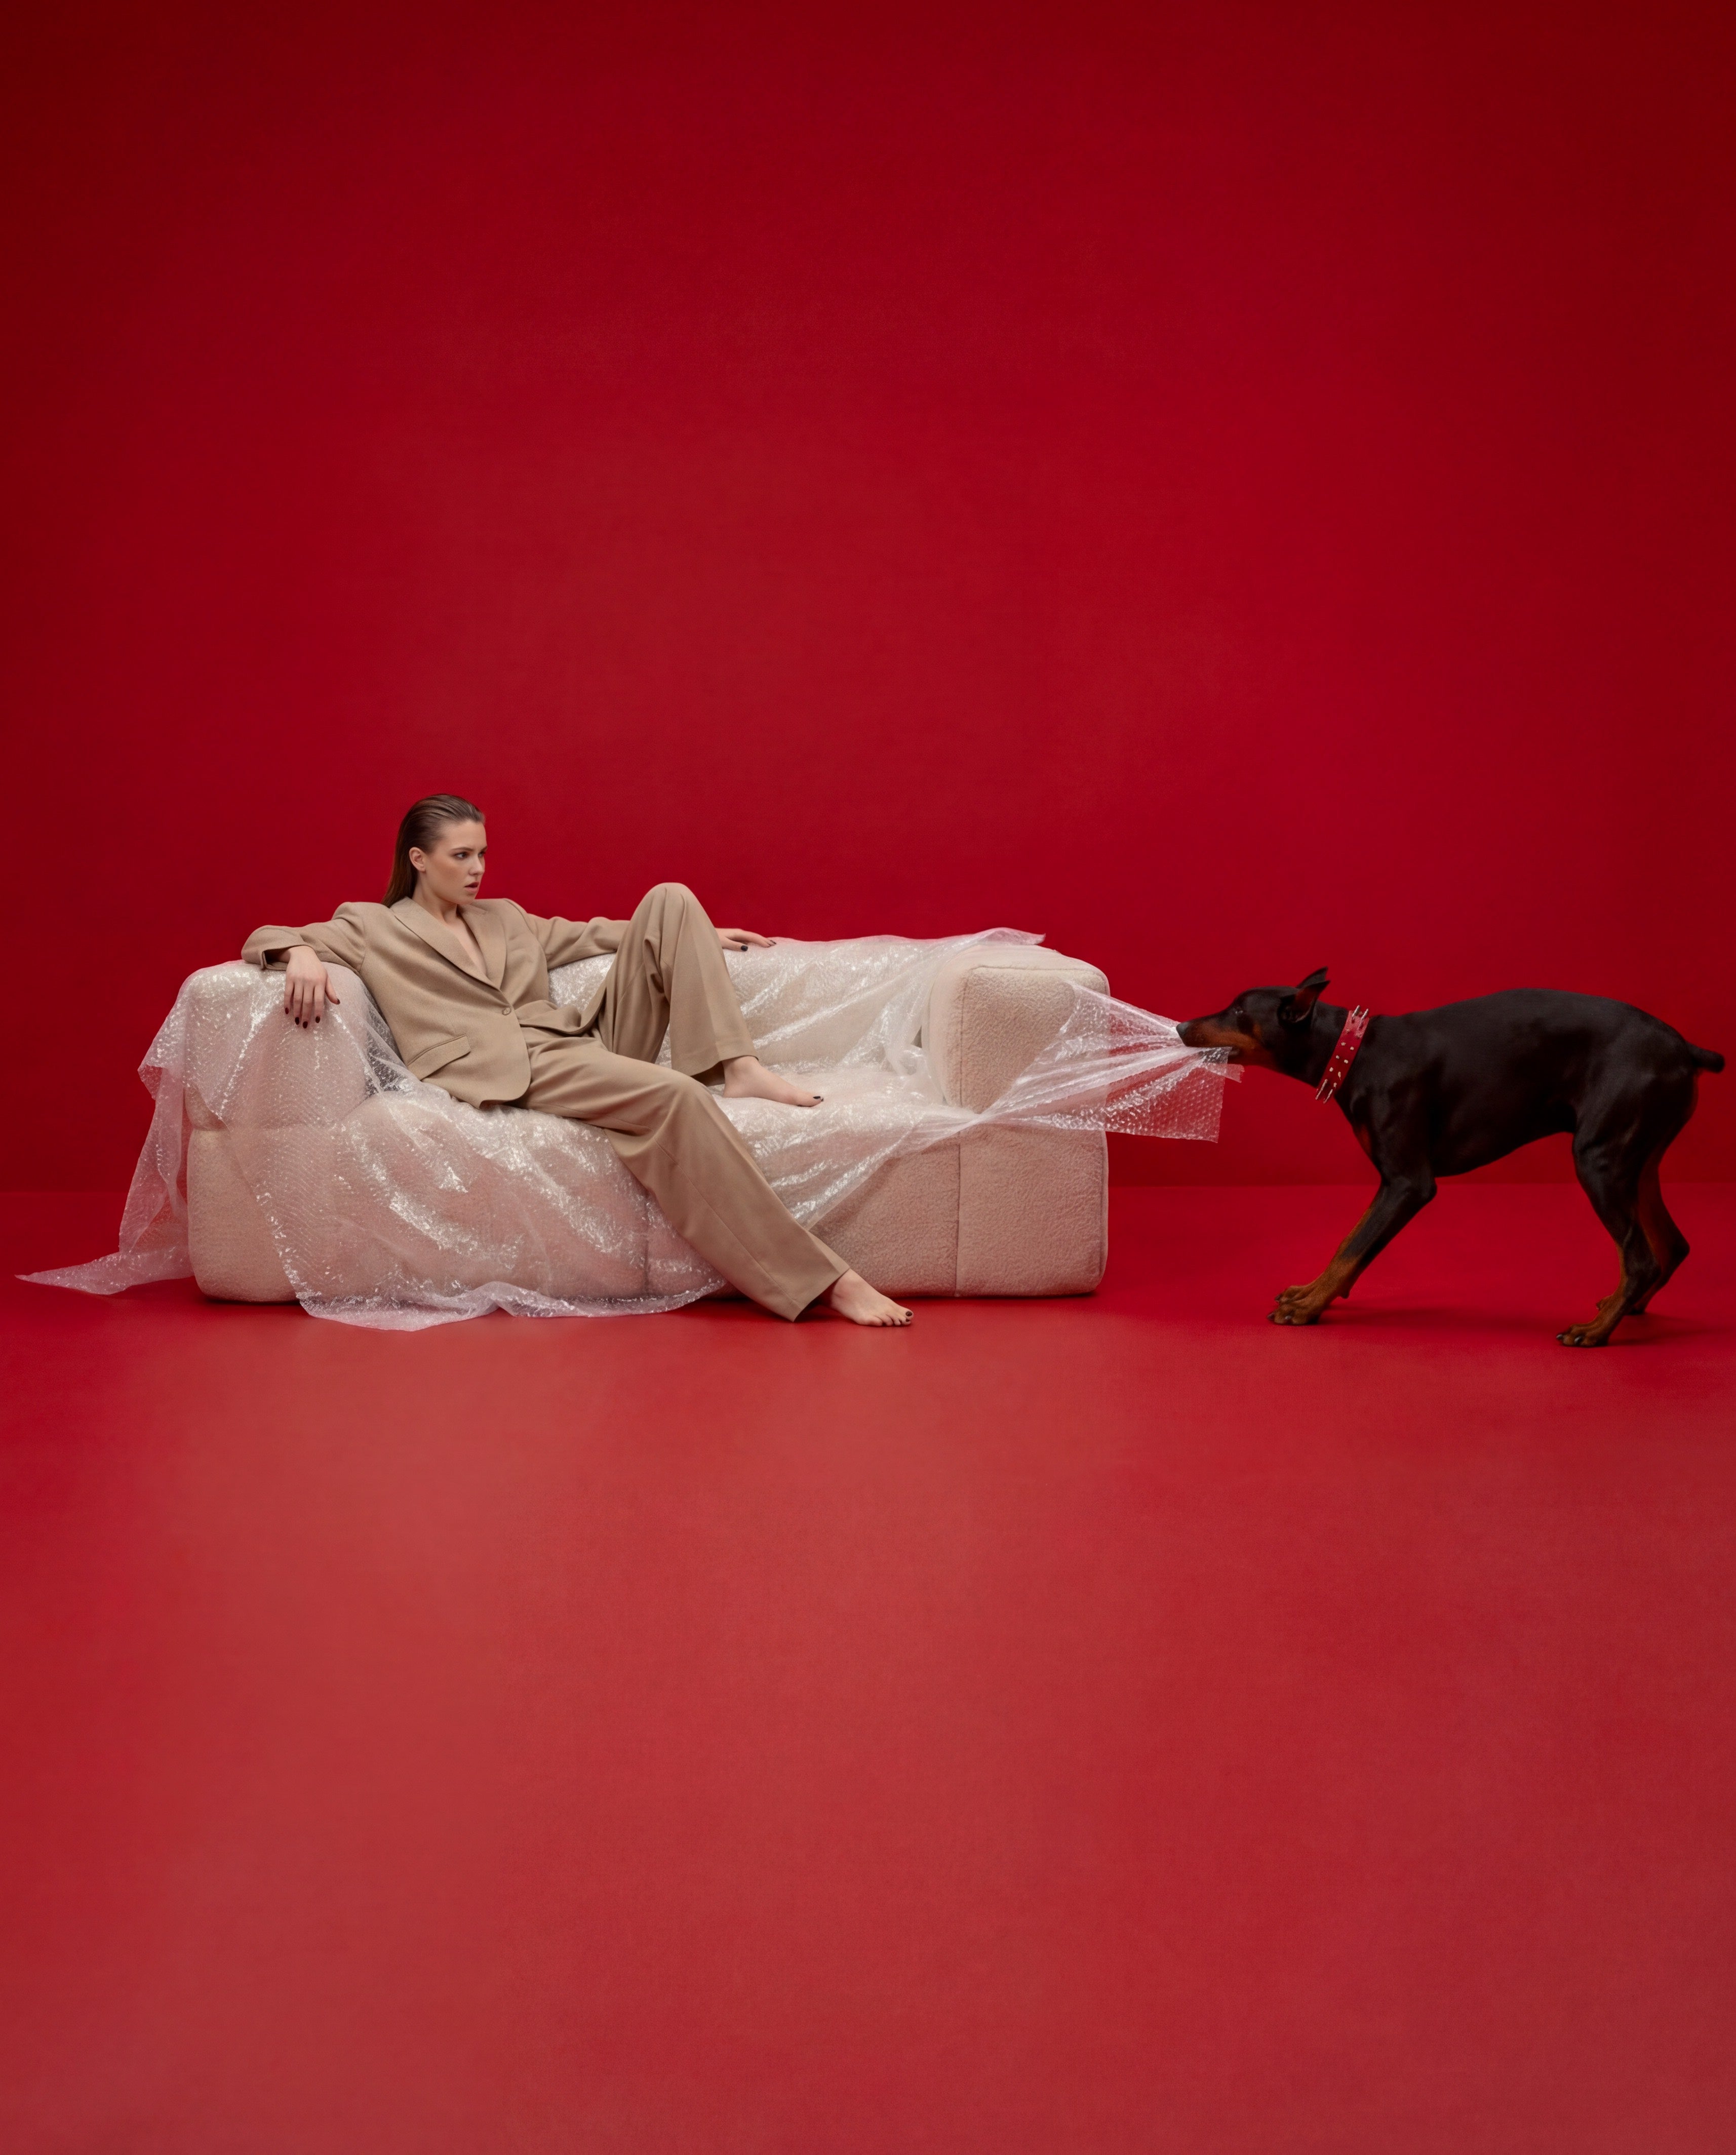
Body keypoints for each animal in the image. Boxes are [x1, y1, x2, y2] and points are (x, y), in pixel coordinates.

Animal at [1177, 972, 1723, 1345]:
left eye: (1237, 1011)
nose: (1181, 1025)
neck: (1354, 1052)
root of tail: (1683, 1047)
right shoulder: (1390, 1184)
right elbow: (1352, 1243)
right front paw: (1311, 1291)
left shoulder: (1407, 1182)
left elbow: (1354, 1245)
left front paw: (1310, 1305)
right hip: (1637, 1162)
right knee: (1669, 1248)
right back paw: (1621, 1306)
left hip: (1599, 1161)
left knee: (1640, 1257)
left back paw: (1595, 1330)